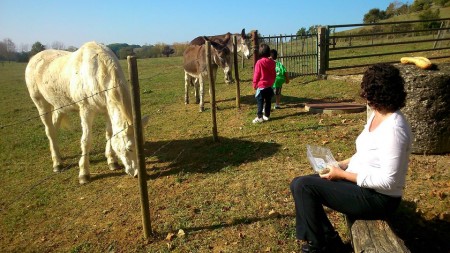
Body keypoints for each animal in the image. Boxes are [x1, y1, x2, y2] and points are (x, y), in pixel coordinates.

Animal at [25, 41, 148, 184]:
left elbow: (109, 134)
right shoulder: (86, 111)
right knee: (49, 131)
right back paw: (57, 164)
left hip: (59, 106)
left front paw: (112, 161)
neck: (98, 72)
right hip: (41, 104)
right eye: (129, 148)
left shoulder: (107, 110)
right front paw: (84, 174)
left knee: (54, 130)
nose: (137, 174)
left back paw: (59, 157)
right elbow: (86, 140)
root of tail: (33, 59)